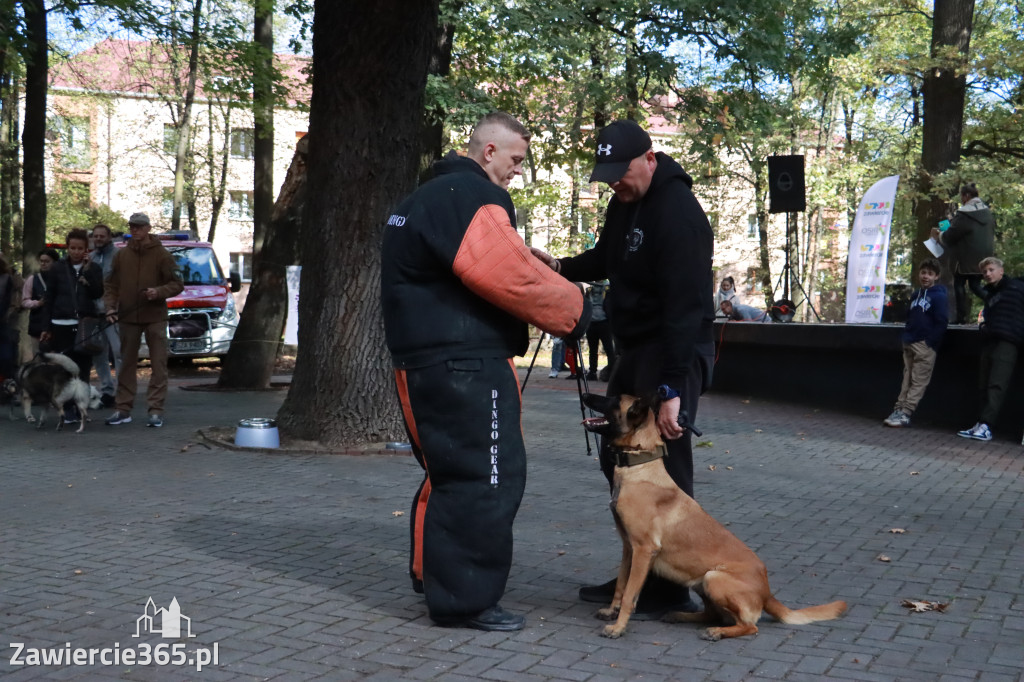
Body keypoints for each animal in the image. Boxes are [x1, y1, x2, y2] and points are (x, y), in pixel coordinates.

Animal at [581, 393, 843, 638]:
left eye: (614, 400)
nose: (584, 395)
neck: (638, 465)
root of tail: (767, 593)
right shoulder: (629, 548)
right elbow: (621, 585)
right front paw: (611, 611)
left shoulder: (644, 550)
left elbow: (629, 595)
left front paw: (618, 627)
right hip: (701, 583)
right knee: (712, 614)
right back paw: (682, 616)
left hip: (713, 577)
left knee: (749, 626)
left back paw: (717, 632)